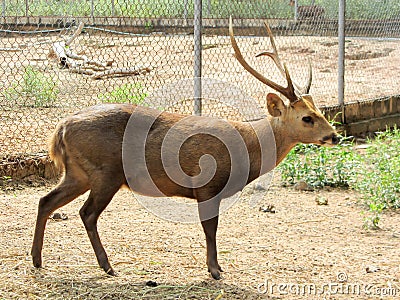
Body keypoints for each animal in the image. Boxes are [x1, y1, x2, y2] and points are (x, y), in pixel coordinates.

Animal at [31, 17, 338, 280]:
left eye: (319, 111)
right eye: (307, 118)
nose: (334, 136)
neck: (247, 148)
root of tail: (61, 128)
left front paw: (217, 268)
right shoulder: (207, 186)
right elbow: (210, 229)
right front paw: (214, 270)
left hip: (78, 172)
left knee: (46, 200)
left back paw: (37, 260)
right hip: (105, 172)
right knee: (87, 213)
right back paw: (107, 266)